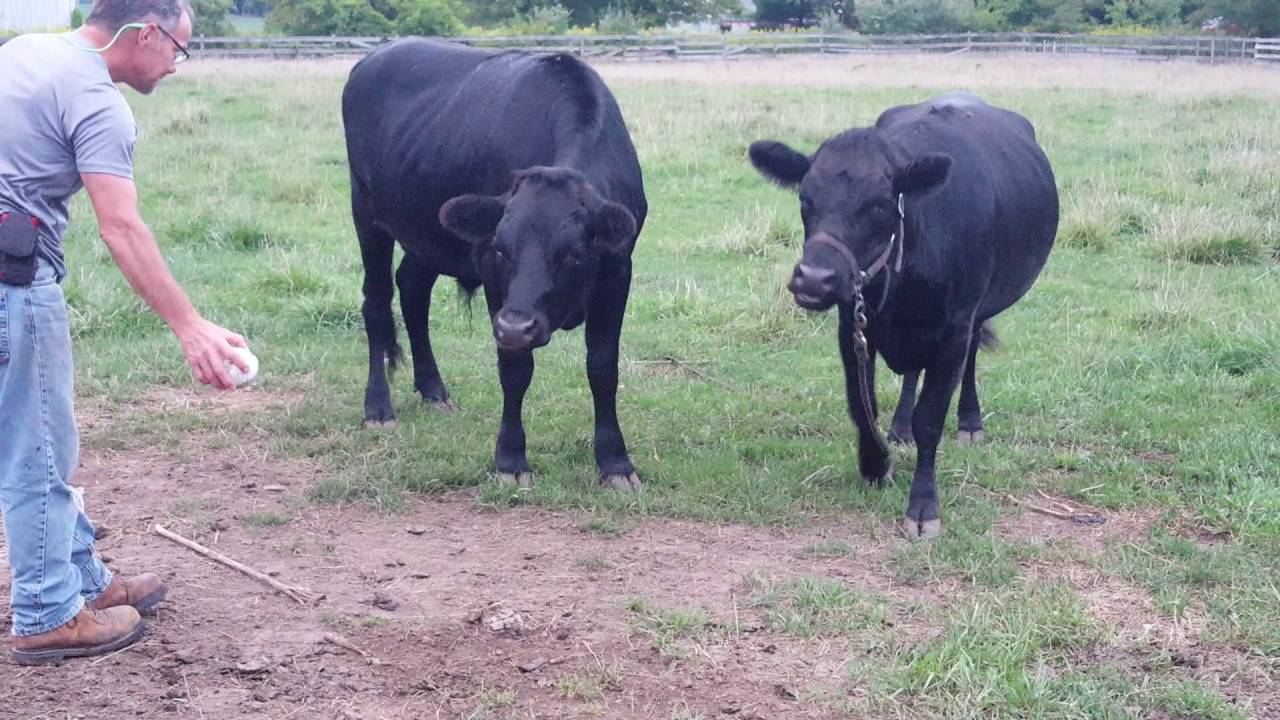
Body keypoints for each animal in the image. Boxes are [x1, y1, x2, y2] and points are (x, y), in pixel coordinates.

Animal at [342, 39, 647, 492]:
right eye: (501, 249)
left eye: (574, 253)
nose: (517, 327)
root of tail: (374, 56)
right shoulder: (492, 281)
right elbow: (515, 369)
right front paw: (510, 459)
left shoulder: (617, 273)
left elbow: (603, 367)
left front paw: (615, 463)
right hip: (366, 212)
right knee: (377, 302)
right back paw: (378, 408)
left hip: (426, 232)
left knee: (412, 290)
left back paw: (433, 390)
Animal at [749, 92, 1058, 538]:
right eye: (805, 198)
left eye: (879, 205)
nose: (814, 280)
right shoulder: (853, 325)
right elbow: (861, 404)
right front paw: (875, 463)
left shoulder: (954, 331)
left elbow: (931, 420)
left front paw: (923, 506)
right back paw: (900, 426)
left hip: (977, 314)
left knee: (969, 362)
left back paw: (969, 422)